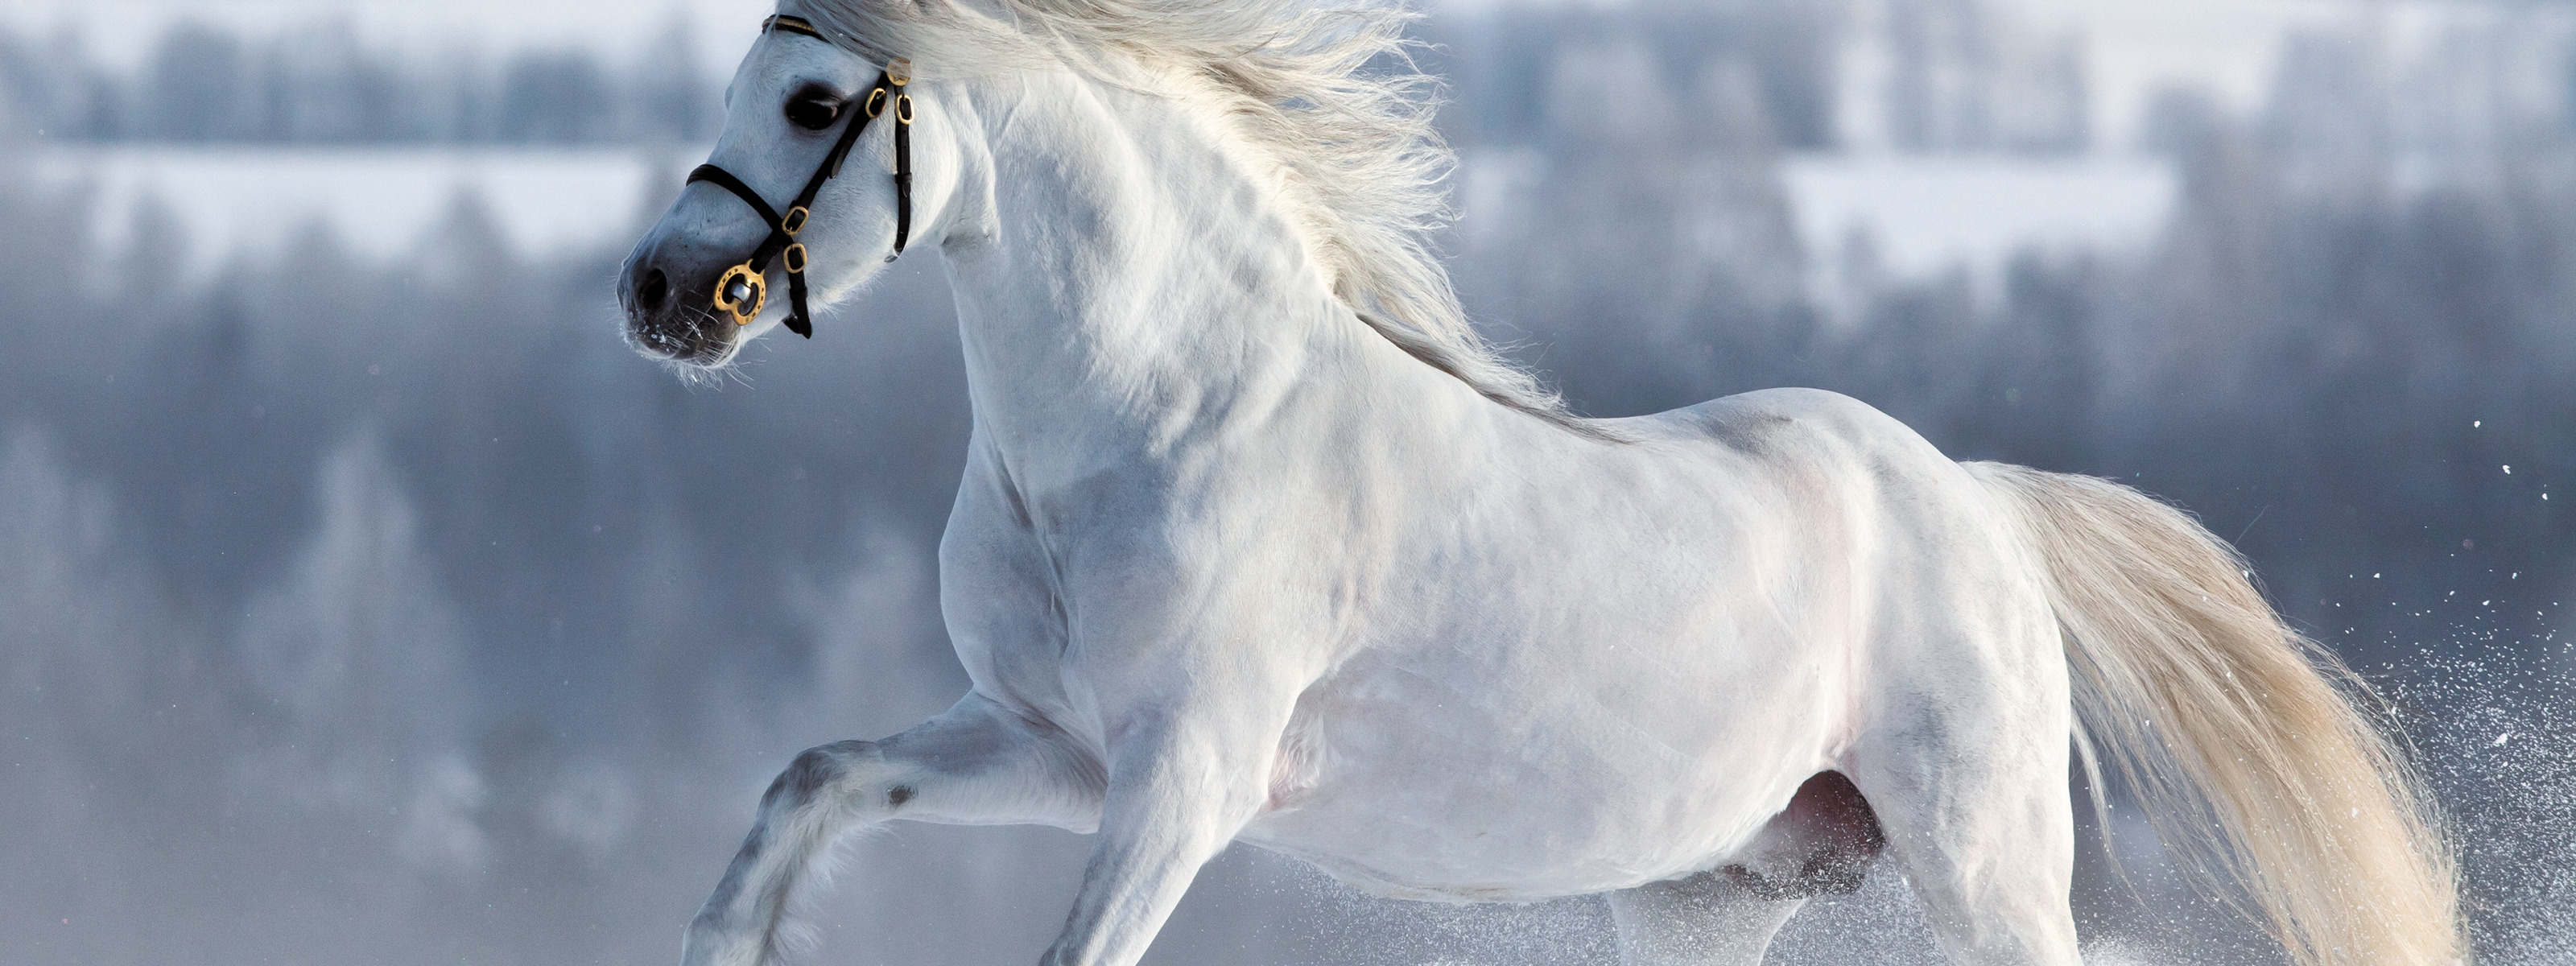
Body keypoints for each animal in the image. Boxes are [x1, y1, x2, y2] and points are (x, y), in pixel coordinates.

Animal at [613, 3, 2462, 963]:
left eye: (818, 97)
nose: (663, 293)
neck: (1165, 425)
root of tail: (1980, 506)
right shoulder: (1052, 749)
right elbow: (813, 779)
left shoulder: (1187, 777)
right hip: (1706, 896)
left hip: (1984, 866)